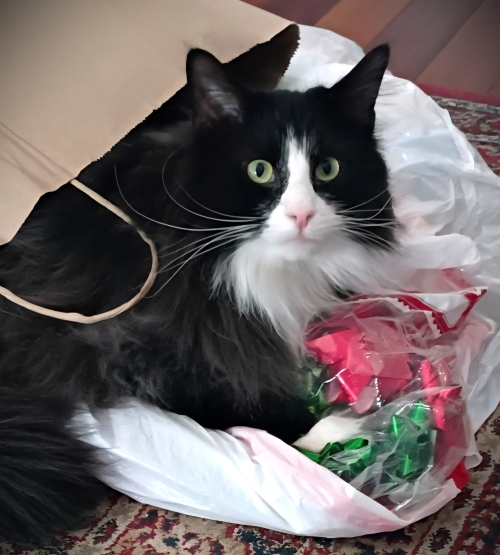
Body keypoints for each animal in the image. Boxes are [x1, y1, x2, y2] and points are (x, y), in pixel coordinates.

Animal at [0, 44, 397, 543]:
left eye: (328, 169)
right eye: (260, 171)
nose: (302, 215)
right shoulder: (125, 344)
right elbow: (232, 395)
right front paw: (334, 430)